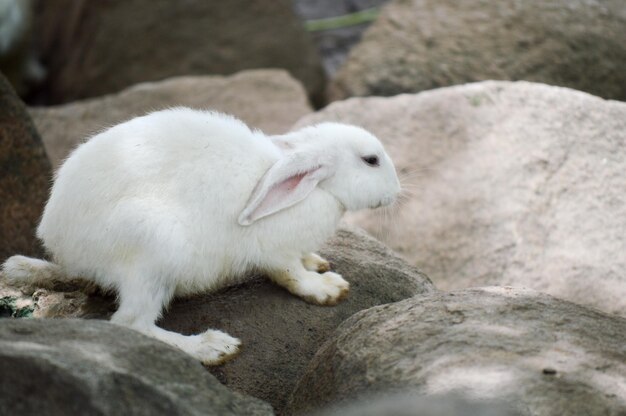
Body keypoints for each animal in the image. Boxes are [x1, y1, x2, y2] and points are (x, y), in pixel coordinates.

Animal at [1, 108, 400, 364]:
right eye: (370, 160)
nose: (397, 190)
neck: (318, 190)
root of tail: (60, 241)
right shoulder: (275, 251)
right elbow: (291, 275)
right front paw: (328, 289)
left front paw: (317, 262)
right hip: (155, 253)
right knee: (131, 323)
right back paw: (211, 348)